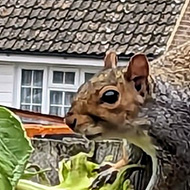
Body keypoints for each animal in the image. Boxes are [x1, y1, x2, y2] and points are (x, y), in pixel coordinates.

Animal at [65, 43, 190, 190]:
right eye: (81, 87)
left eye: (110, 96)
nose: (69, 121)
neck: (136, 132)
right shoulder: (132, 142)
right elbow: (131, 157)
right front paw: (114, 169)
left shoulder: (177, 150)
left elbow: (165, 181)